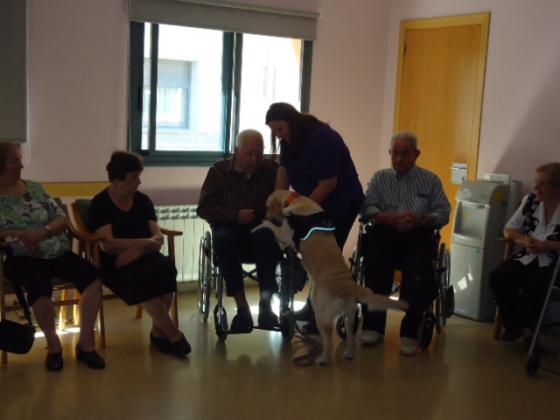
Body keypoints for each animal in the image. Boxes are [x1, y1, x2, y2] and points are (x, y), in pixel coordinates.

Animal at [256, 190, 409, 365]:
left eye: (267, 206)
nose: (266, 215)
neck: (296, 201)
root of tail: (348, 285)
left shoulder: (286, 234)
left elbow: (273, 229)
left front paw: (260, 225)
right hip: (349, 315)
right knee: (349, 334)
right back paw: (348, 353)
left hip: (321, 314)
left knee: (327, 339)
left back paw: (323, 358)